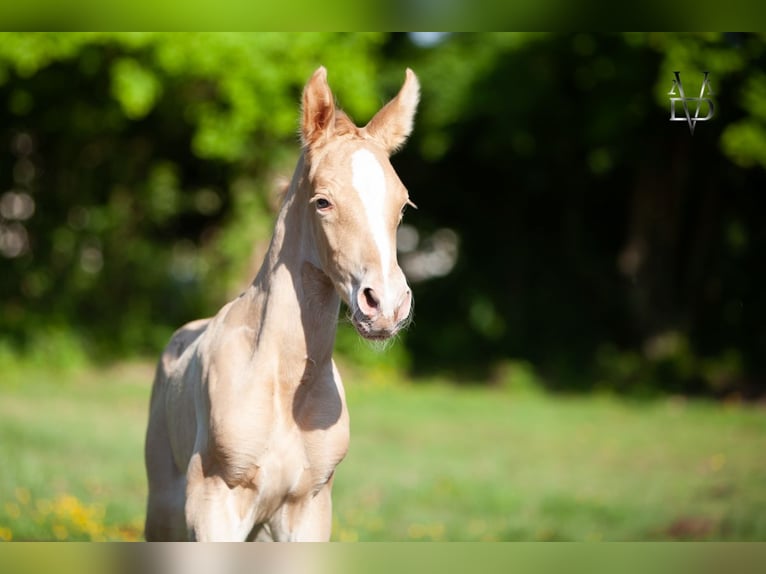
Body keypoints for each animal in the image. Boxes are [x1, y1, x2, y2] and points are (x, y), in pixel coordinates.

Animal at [144, 66, 420, 541]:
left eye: (402, 206)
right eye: (322, 201)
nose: (385, 306)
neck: (286, 385)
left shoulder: (308, 508)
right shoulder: (213, 506)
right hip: (162, 511)